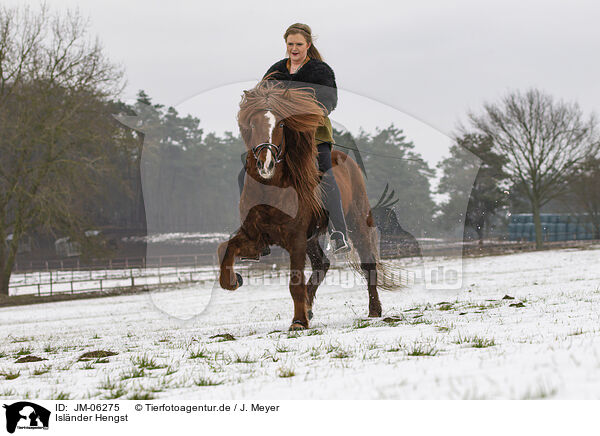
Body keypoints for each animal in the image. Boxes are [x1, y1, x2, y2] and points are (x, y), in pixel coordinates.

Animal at [218, 81, 386, 330]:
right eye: (252, 123)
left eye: (281, 123)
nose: (265, 164)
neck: (271, 189)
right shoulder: (255, 237)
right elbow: (225, 249)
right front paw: (233, 280)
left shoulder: (296, 239)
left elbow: (294, 282)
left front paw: (298, 322)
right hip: (312, 238)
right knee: (322, 264)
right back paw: (309, 306)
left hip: (357, 222)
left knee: (368, 264)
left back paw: (374, 310)